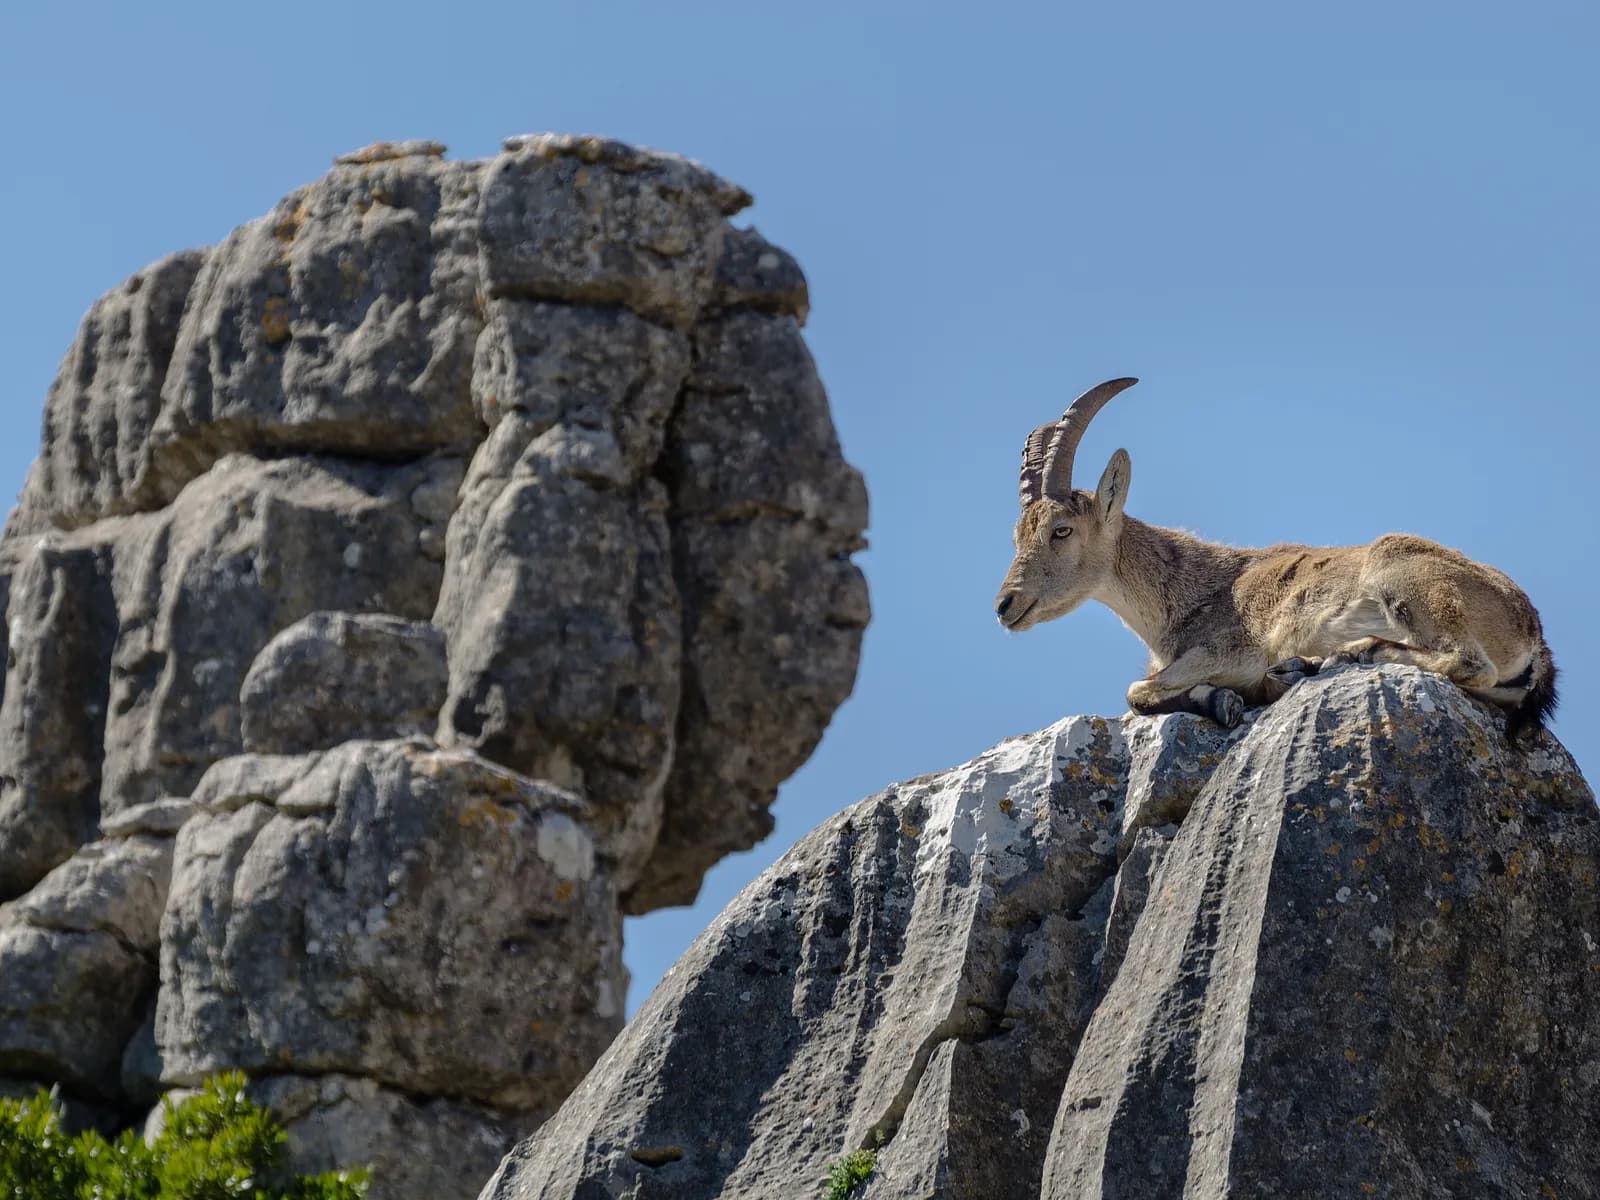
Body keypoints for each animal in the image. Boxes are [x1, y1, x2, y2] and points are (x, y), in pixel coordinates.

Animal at [994, 378, 1557, 740]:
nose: (1004, 605)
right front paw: (1221, 699)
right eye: (1017, 535)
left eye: (1061, 530)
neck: (1190, 592)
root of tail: (1531, 632)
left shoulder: (1224, 651)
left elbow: (1137, 691)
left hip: (1403, 574)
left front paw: (1224, 698)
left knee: (1469, 663)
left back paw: (1347, 654)